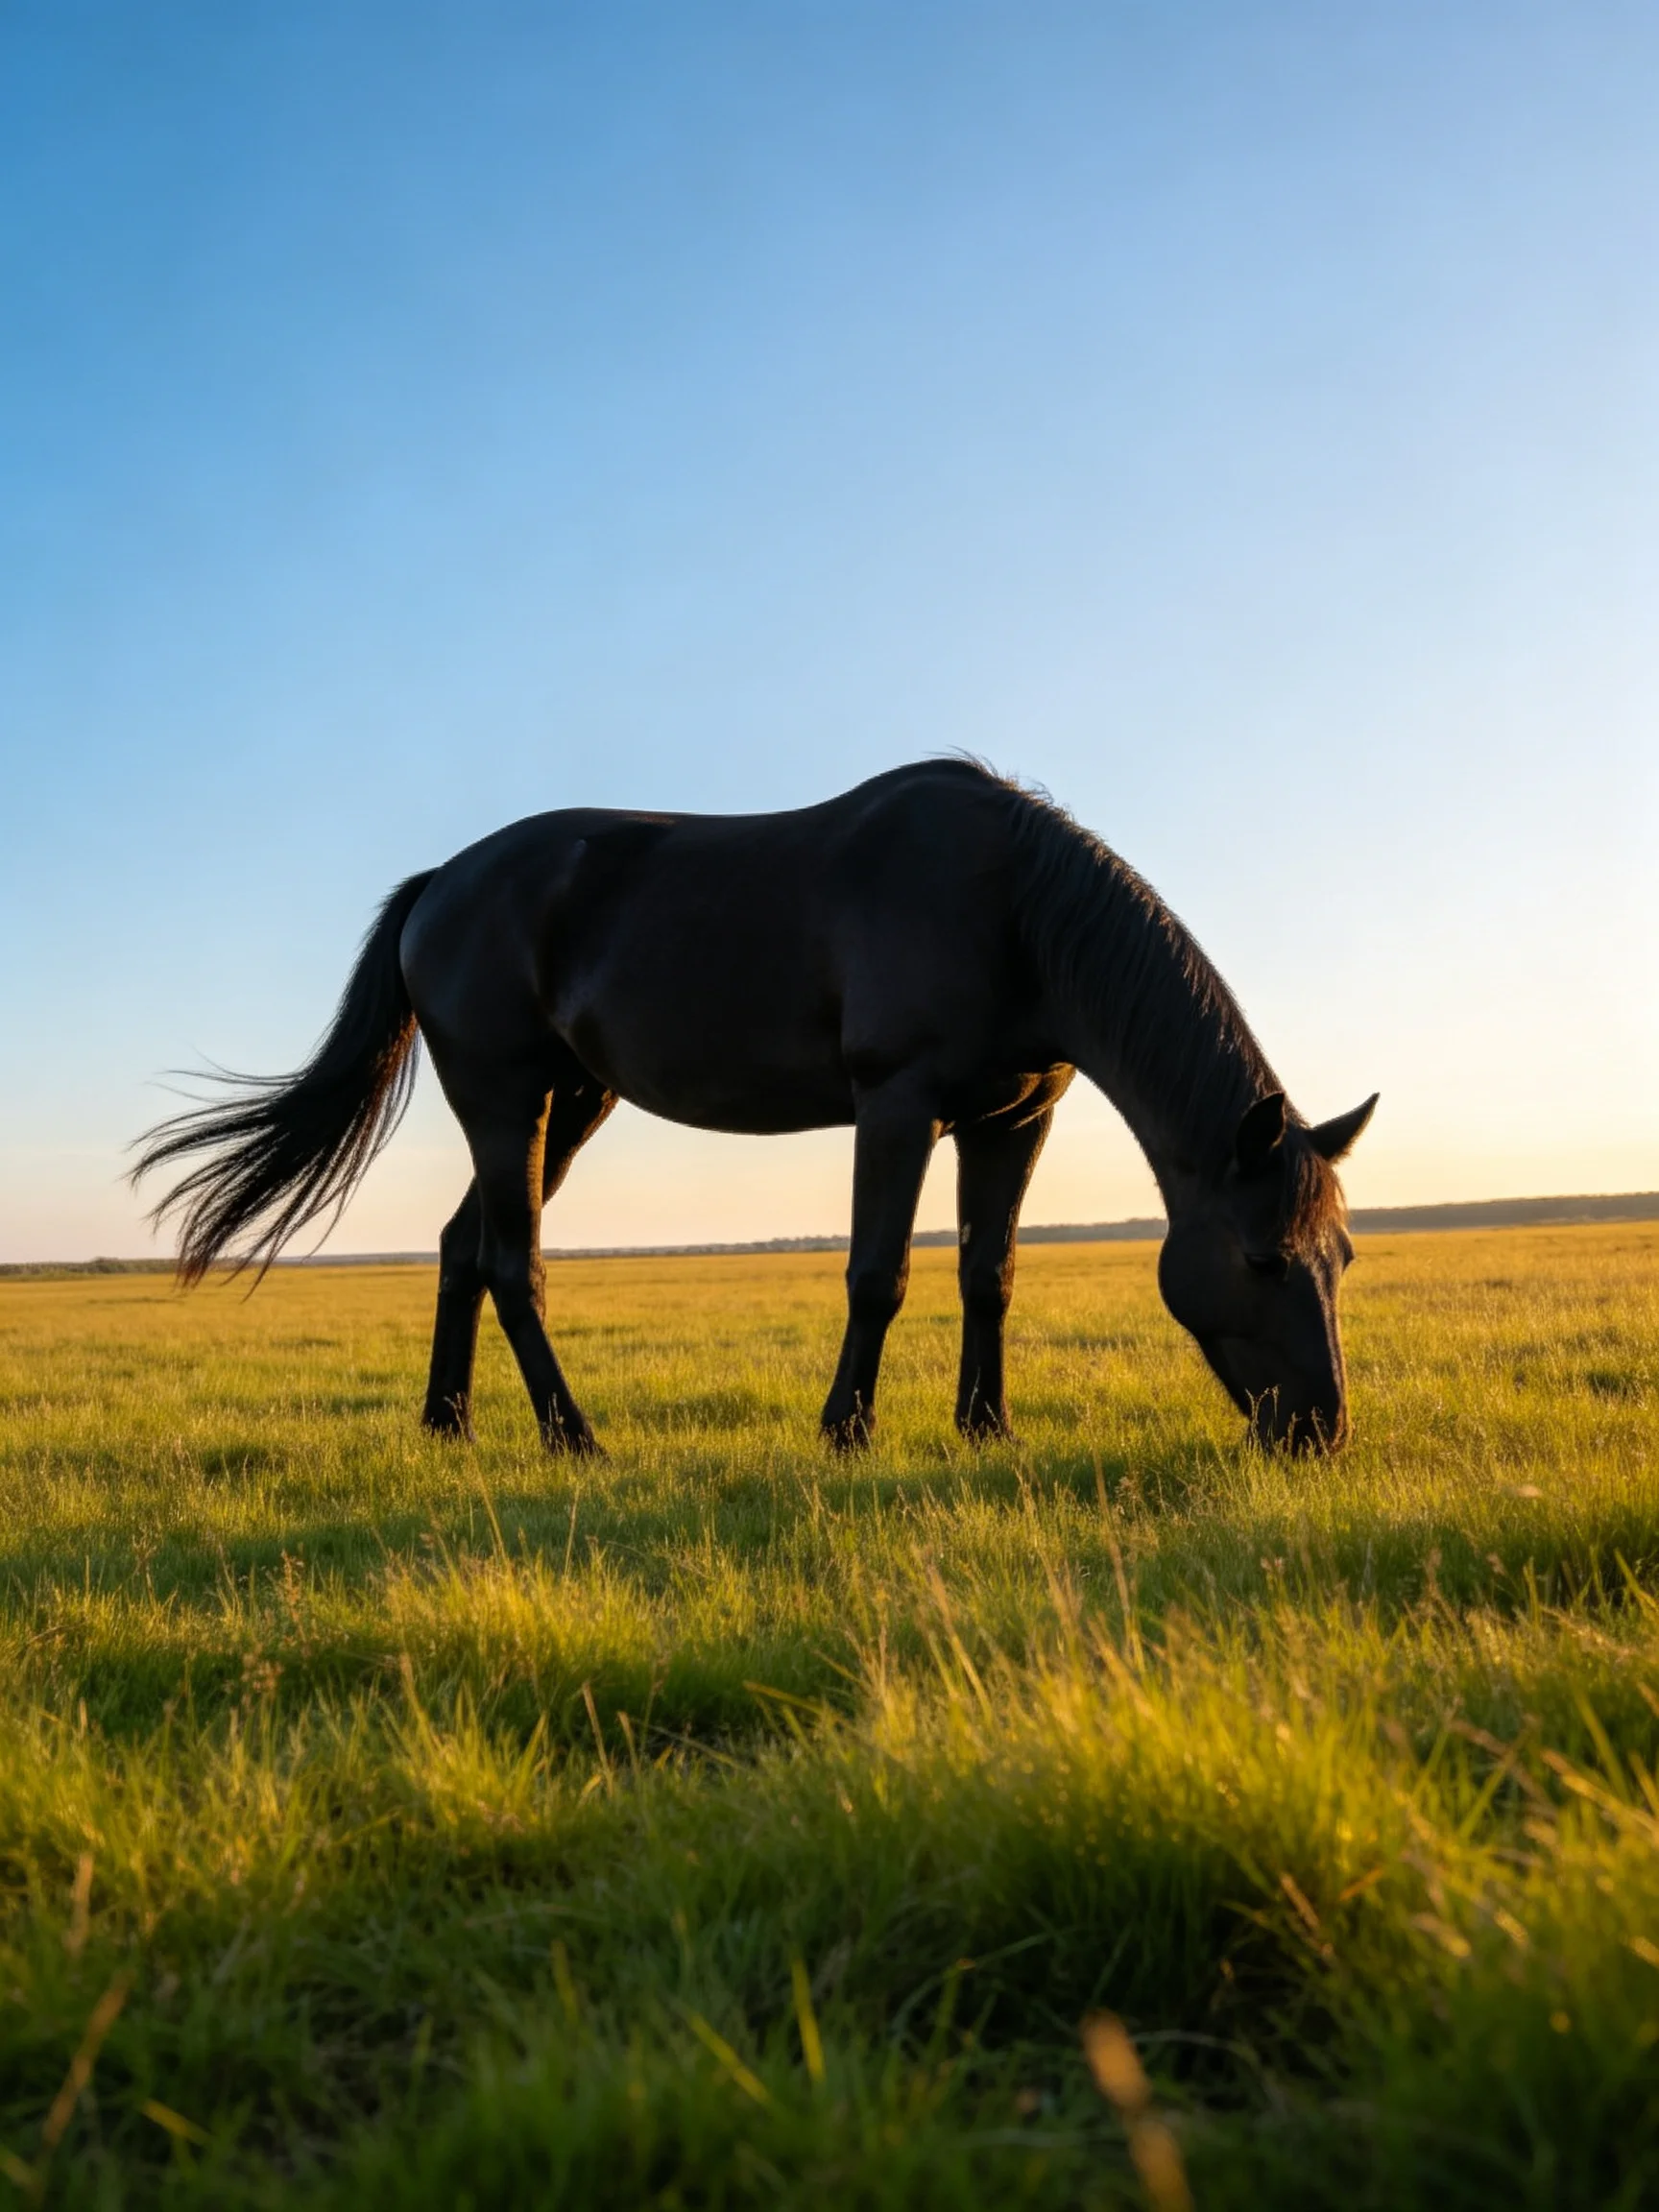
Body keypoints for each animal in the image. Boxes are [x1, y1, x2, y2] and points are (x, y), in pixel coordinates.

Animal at [133, 760, 1376, 1453]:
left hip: (570, 1102)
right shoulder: (899, 1105)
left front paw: (987, 1428)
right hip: (505, 1098)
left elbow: (991, 1276)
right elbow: (881, 1274)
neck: (1015, 908)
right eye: (1263, 1259)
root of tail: (440, 882)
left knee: (459, 1247)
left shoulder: (1013, 1119)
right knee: (510, 1264)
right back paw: (572, 1438)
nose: (1321, 1432)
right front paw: (847, 1431)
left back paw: (449, 1425)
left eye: (1345, 1258)